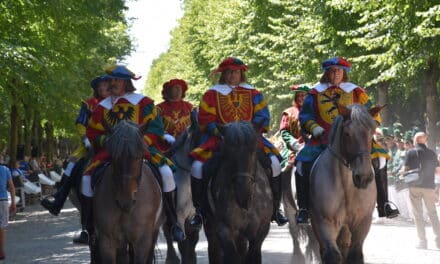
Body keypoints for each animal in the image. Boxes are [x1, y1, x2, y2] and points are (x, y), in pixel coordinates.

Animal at [310, 103, 382, 264]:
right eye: (347, 134)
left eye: (372, 133)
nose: (363, 177)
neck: (348, 188)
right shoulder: (326, 223)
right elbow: (332, 255)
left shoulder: (362, 223)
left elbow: (355, 255)